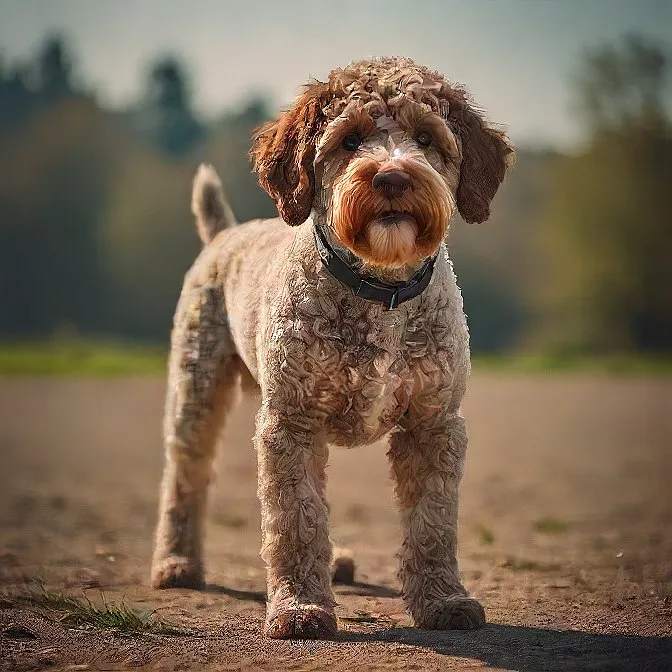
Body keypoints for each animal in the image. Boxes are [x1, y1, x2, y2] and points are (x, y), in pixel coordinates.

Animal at [150, 57, 512, 640]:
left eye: (426, 137)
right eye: (350, 140)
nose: (391, 177)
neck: (380, 291)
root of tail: (223, 234)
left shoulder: (434, 423)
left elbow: (433, 522)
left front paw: (444, 600)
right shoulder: (290, 423)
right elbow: (295, 519)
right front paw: (300, 608)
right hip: (195, 393)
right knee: (186, 478)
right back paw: (177, 563)